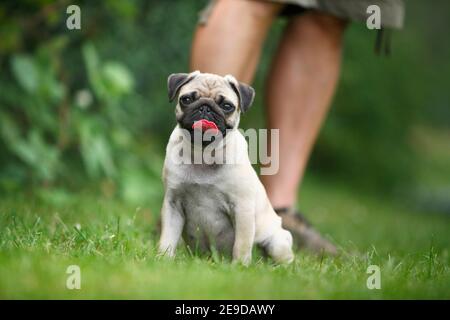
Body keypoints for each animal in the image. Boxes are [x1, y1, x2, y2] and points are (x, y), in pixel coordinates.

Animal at [158, 71, 296, 264]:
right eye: (186, 99)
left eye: (226, 106)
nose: (205, 107)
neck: (203, 154)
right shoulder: (173, 204)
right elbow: (168, 238)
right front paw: (162, 259)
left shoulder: (242, 209)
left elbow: (242, 244)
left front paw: (239, 266)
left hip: (276, 243)